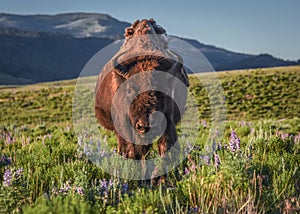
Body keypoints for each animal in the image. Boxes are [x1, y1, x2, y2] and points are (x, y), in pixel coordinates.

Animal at [94, 18, 188, 182]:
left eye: (164, 93)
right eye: (130, 90)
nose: (145, 125)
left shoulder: (168, 122)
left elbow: (165, 149)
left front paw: (161, 180)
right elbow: (134, 152)